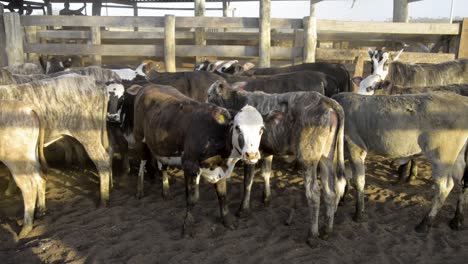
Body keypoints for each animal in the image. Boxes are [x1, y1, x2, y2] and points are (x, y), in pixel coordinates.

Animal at [0, 100, 47, 238]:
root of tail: (28, 107)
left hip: (16, 159)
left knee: (28, 186)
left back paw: (25, 229)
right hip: (30, 155)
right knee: (39, 177)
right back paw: (41, 211)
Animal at [132, 83, 264, 236]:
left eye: (261, 129)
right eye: (237, 127)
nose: (251, 155)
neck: (216, 132)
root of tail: (148, 85)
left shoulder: (220, 169)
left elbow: (222, 195)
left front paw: (227, 220)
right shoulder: (190, 165)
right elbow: (193, 198)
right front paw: (188, 226)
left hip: (162, 148)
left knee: (163, 166)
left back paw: (166, 192)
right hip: (140, 140)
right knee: (142, 163)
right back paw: (139, 190)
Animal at [208, 80, 348, 245]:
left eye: (209, 95)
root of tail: (327, 101)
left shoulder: (250, 154)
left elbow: (247, 181)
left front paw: (243, 209)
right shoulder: (266, 151)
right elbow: (266, 173)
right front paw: (266, 197)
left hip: (308, 158)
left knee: (313, 193)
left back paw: (313, 236)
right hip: (327, 157)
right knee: (330, 192)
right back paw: (327, 231)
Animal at [332, 93, 468, 233]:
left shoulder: (355, 149)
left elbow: (358, 181)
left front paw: (358, 214)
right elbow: (346, 179)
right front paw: (342, 199)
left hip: (441, 159)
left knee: (444, 188)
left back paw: (425, 223)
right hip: (458, 158)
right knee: (463, 182)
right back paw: (457, 220)